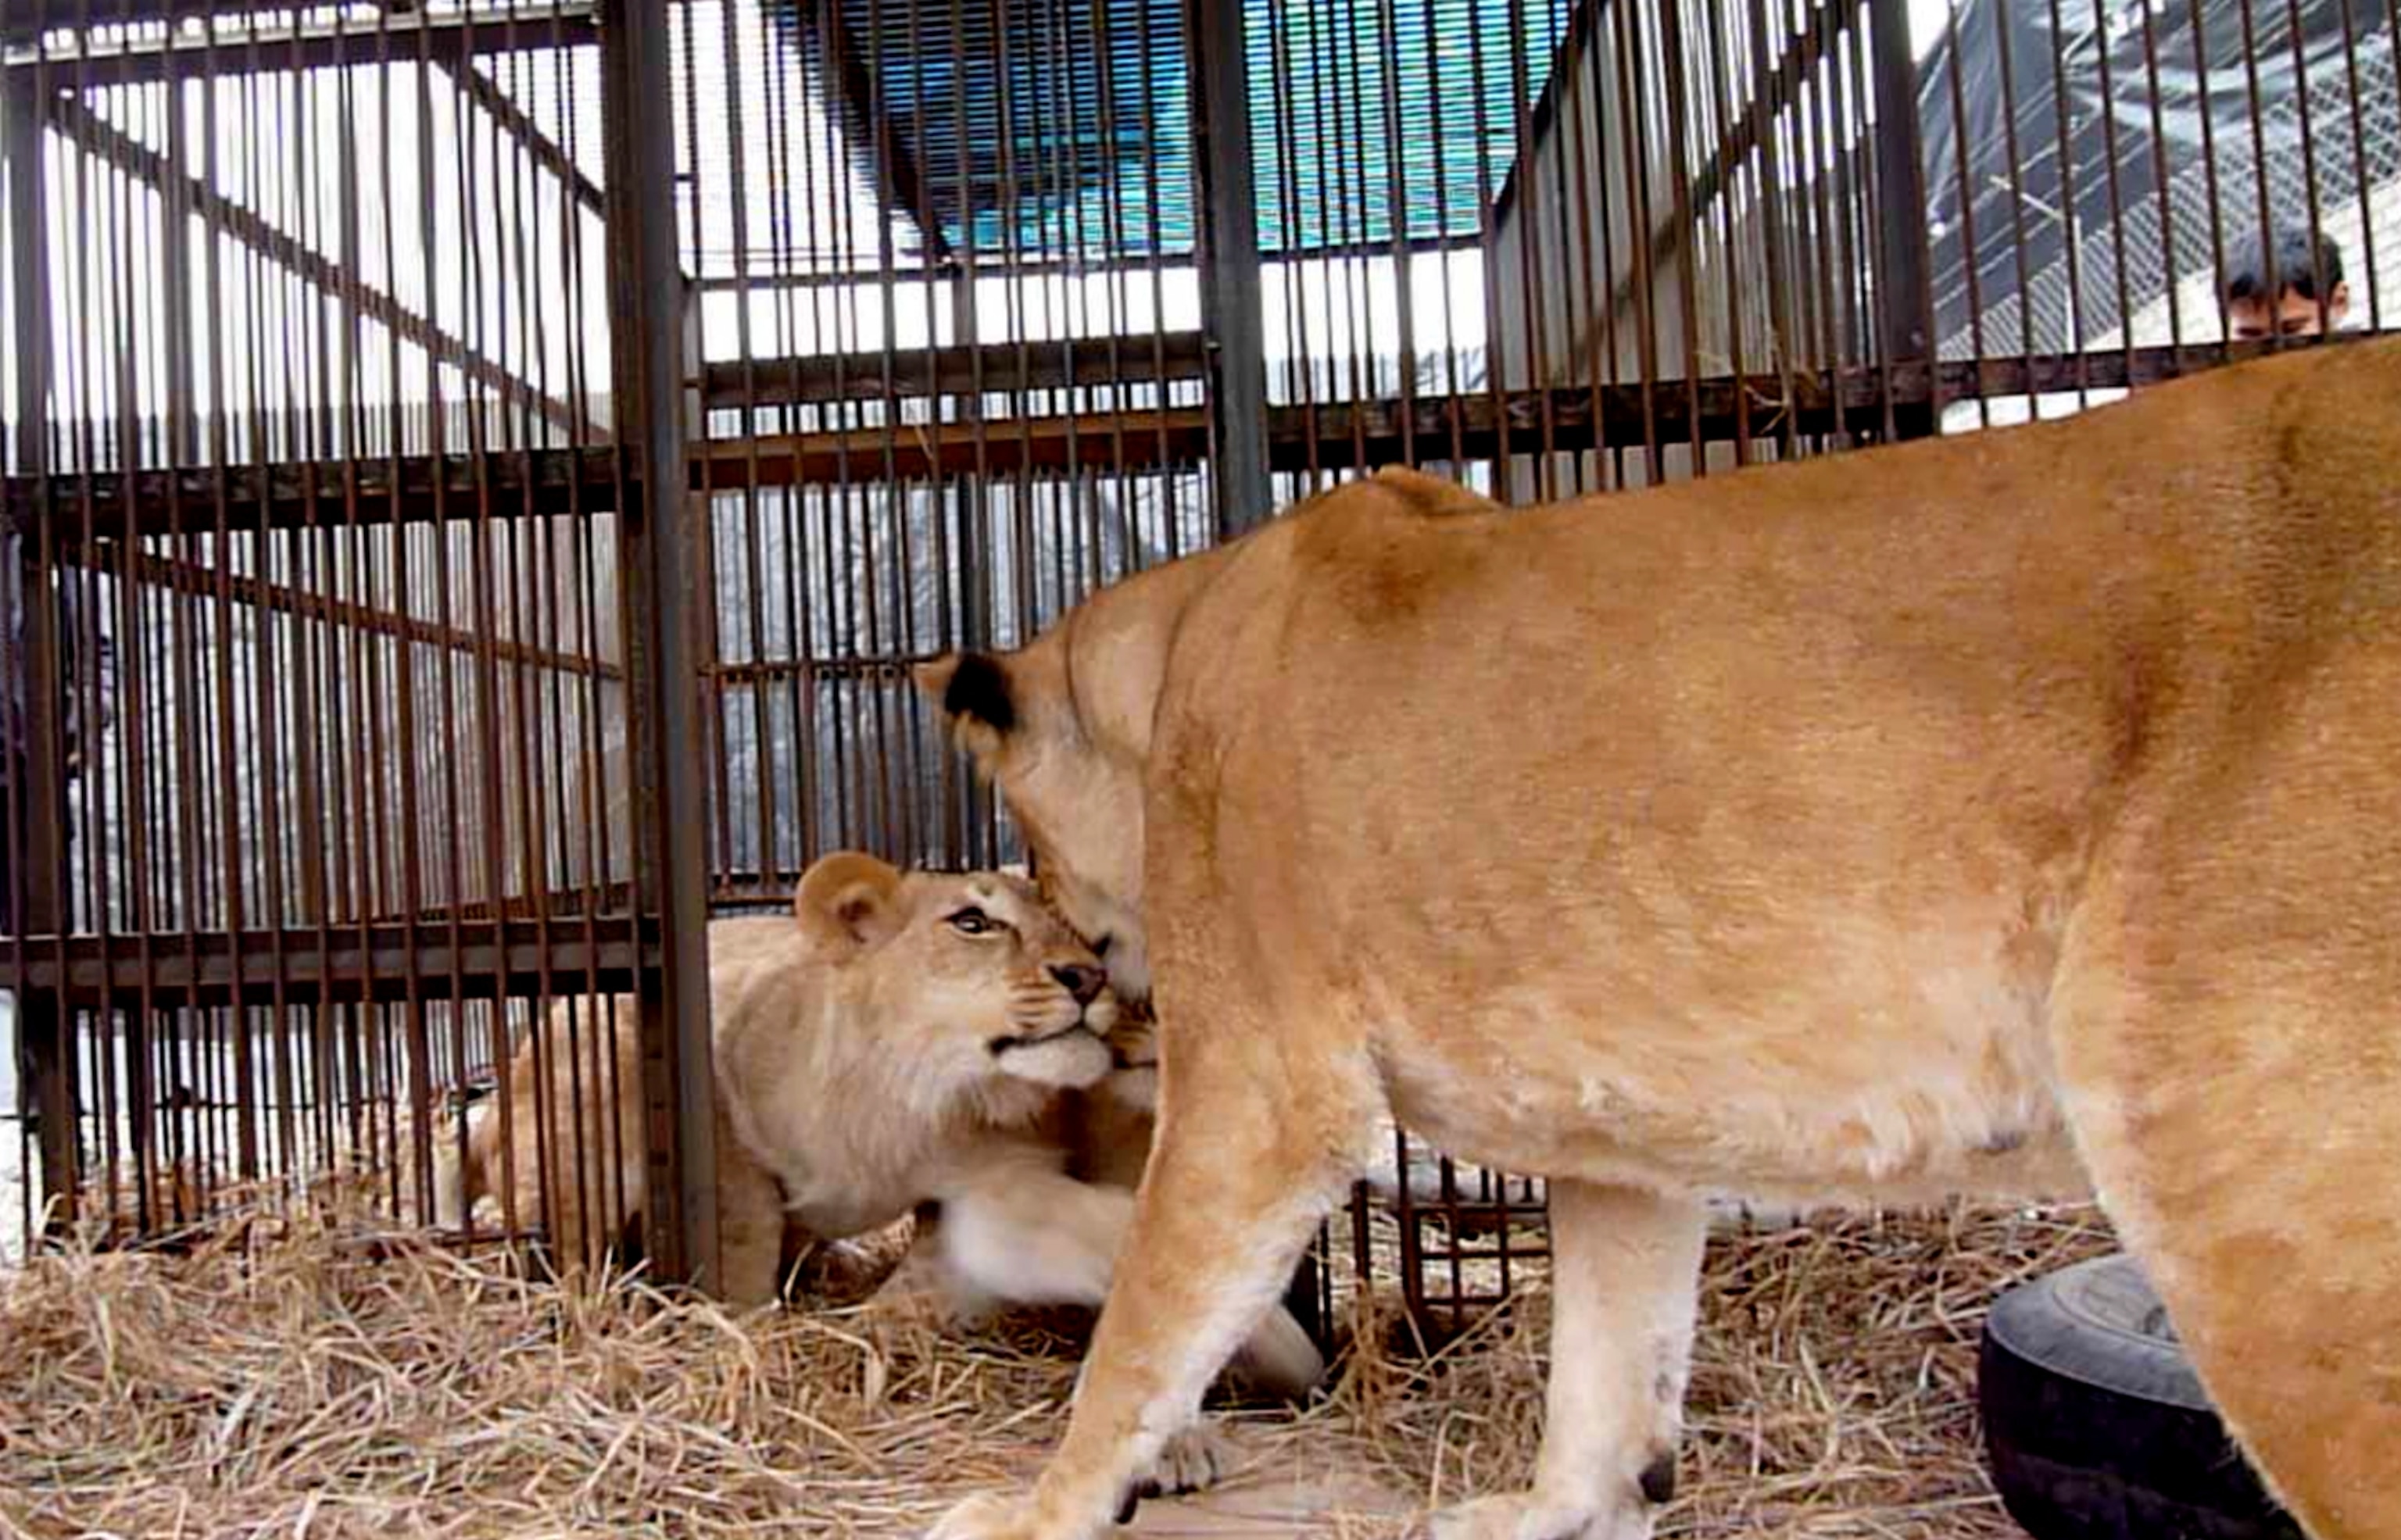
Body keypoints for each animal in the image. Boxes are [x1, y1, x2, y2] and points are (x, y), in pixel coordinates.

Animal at [442, 851, 1320, 1488]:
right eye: (974, 921)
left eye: (1070, 932)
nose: (1087, 979)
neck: (908, 1095)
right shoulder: (724, 1116)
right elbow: (742, 1244)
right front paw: (761, 1344)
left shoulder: (991, 1174)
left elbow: (933, 1291)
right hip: (590, 1063)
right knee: (563, 1247)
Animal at [914, 336, 2401, 1540]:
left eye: (1031, 853)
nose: (1089, 976)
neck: (1182, 636)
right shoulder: (1619, 1129)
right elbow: (1609, 1358)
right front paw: (1558, 1508)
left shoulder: (1263, 1086)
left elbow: (1139, 1332)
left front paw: (1035, 1508)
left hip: (2249, 1154)